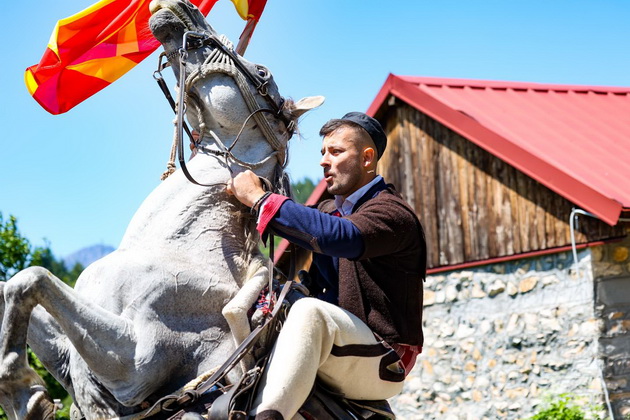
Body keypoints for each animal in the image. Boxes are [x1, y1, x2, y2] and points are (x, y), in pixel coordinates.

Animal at [0, 0, 324, 416]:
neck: (172, 246)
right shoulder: (68, 354)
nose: (180, 9)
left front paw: (21, 387)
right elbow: (13, 287)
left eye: (263, 72)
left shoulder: (135, 363)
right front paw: (28, 399)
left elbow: (32, 278)